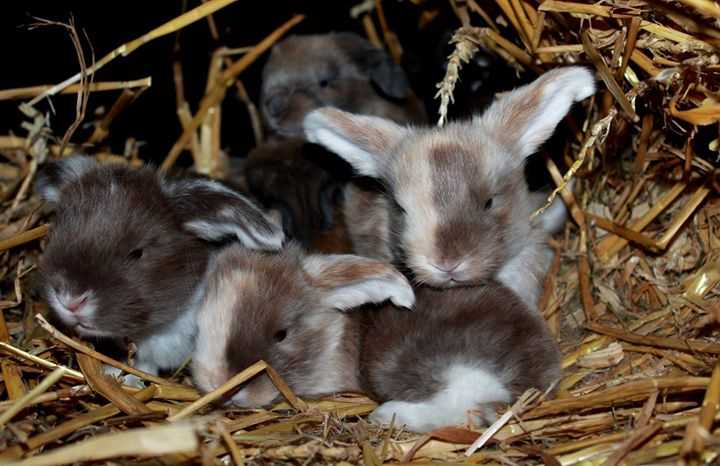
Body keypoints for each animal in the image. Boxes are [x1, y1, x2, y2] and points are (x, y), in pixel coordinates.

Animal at [193, 244, 564, 434]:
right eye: (201, 324)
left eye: (281, 334)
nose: (219, 384)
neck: (338, 333)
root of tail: (541, 369)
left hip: (434, 366)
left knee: (463, 406)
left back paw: (387, 415)